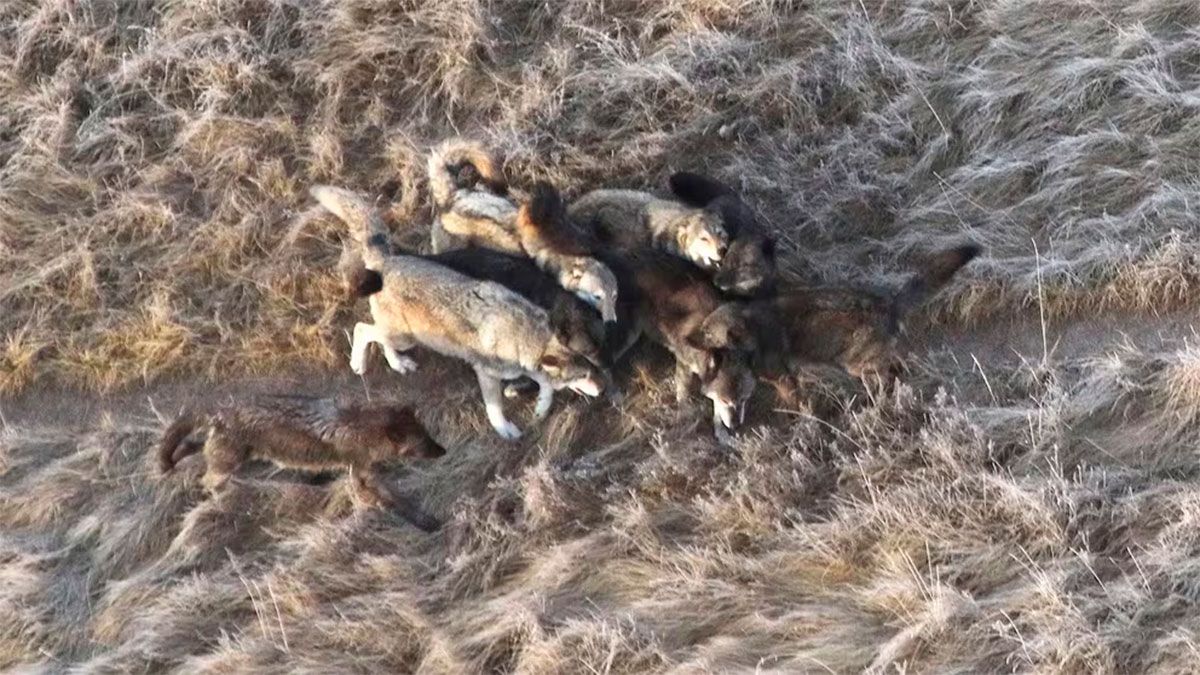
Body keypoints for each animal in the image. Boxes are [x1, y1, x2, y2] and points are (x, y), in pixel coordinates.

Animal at [157, 395, 444, 531]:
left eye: (429, 435)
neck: (361, 428)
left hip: (232, 456)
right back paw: (217, 497)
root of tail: (220, 412)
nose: (443, 451)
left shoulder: (364, 474)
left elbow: (396, 497)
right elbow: (392, 501)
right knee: (205, 479)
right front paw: (425, 523)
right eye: (424, 443)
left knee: (191, 448)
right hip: (227, 466)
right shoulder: (361, 479)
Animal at [312, 185, 604, 440]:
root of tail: (387, 261)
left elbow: (545, 384)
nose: (603, 389)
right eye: (583, 376)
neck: (525, 335)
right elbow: (496, 408)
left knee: (380, 339)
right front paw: (506, 431)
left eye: (591, 370)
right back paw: (359, 363)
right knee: (363, 329)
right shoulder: (487, 374)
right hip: (404, 337)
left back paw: (399, 365)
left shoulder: (523, 366)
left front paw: (542, 406)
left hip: (402, 336)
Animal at [695, 244, 982, 382]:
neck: (751, 323)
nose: (691, 339)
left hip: (856, 365)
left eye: (707, 333)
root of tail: (889, 303)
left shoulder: (784, 377)